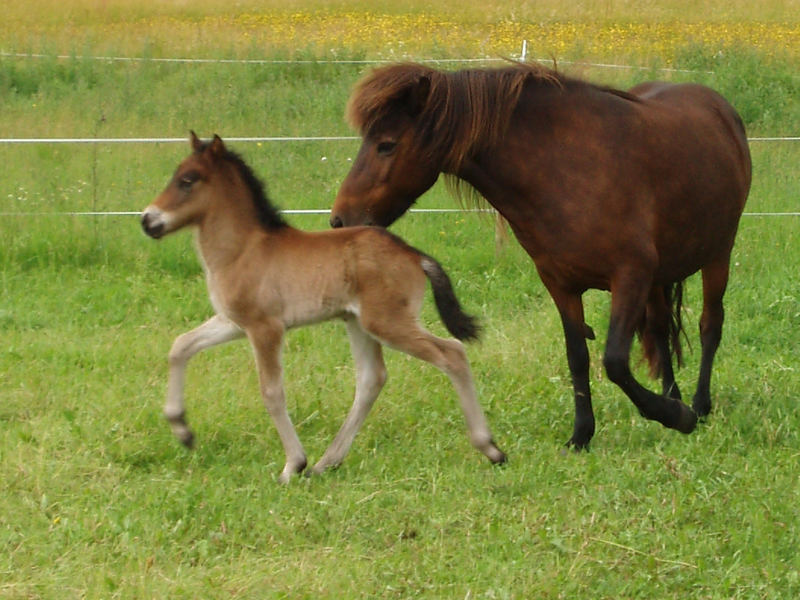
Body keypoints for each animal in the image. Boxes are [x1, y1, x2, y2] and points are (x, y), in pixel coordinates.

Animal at [330, 64, 752, 450]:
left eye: (386, 144)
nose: (339, 220)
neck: (564, 168)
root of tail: (719, 106)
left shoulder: (630, 276)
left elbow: (615, 361)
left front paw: (676, 418)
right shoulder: (560, 283)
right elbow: (578, 356)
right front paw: (582, 435)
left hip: (718, 255)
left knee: (710, 326)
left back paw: (698, 405)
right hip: (660, 279)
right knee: (661, 330)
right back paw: (674, 395)